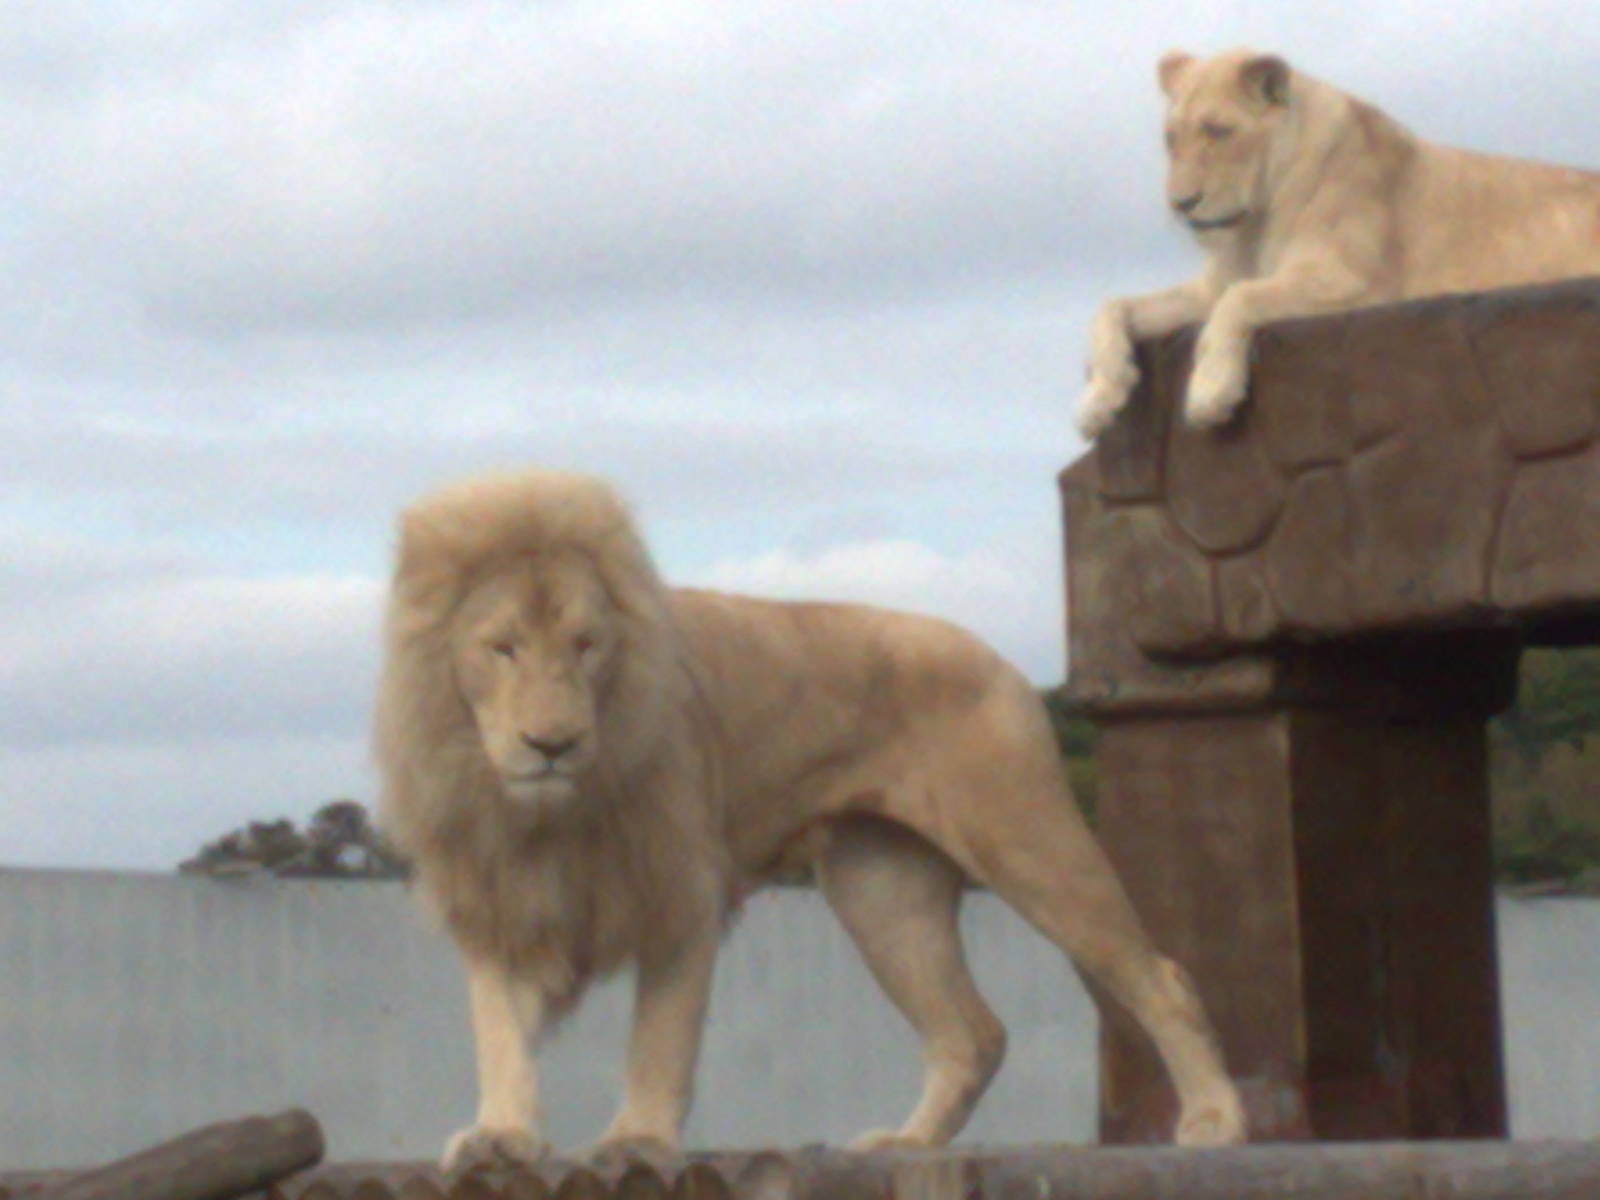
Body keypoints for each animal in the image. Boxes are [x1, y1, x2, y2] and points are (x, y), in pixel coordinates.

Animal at [374, 469, 1247, 1169]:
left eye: (587, 644)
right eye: (502, 648)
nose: (552, 743)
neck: (539, 811)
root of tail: (996, 656)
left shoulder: (680, 892)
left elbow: (660, 1039)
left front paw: (637, 1140)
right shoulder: (499, 894)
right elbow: (500, 1031)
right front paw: (504, 1135)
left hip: (1027, 841)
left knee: (1160, 979)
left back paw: (1215, 1122)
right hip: (882, 891)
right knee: (972, 1033)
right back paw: (908, 1145)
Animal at [1076, 47, 1600, 437]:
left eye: (1219, 132)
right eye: (1171, 139)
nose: (1181, 204)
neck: (1254, 222)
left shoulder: (1358, 281)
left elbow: (1239, 299)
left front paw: (1210, 392)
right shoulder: (1211, 285)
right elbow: (1112, 306)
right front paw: (1100, 398)